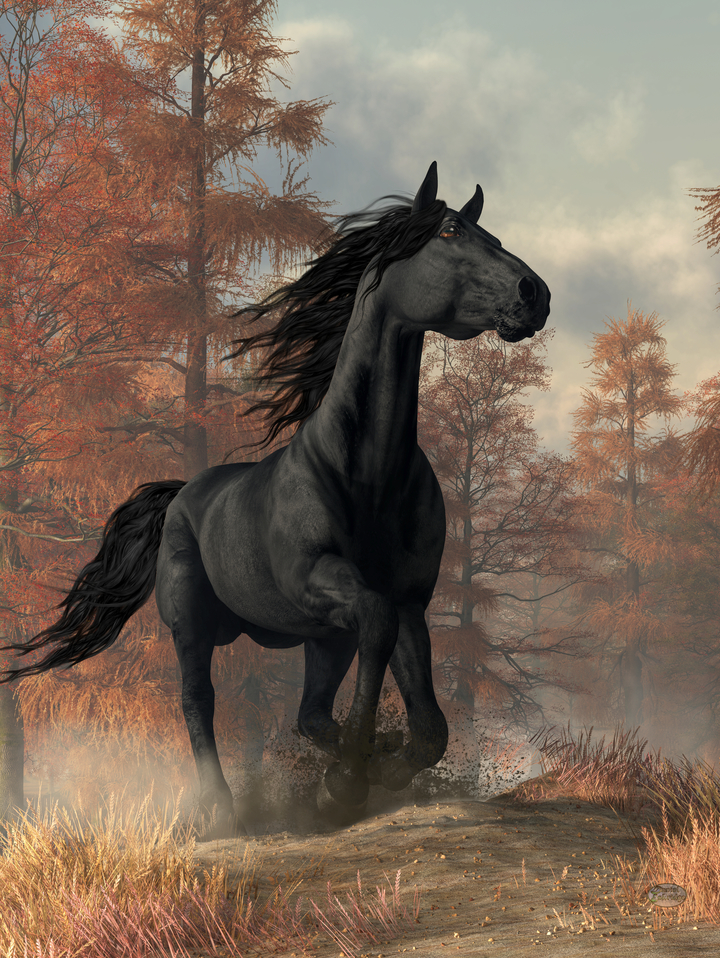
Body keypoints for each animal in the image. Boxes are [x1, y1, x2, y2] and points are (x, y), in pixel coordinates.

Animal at [0, 161, 550, 837]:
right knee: (198, 701)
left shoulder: (408, 600)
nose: (534, 294)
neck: (369, 472)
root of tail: (181, 494)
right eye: (450, 232)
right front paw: (347, 782)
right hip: (194, 628)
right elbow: (376, 629)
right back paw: (222, 810)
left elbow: (429, 725)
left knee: (310, 710)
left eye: (489, 233)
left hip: (321, 637)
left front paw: (376, 764)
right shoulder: (319, 580)